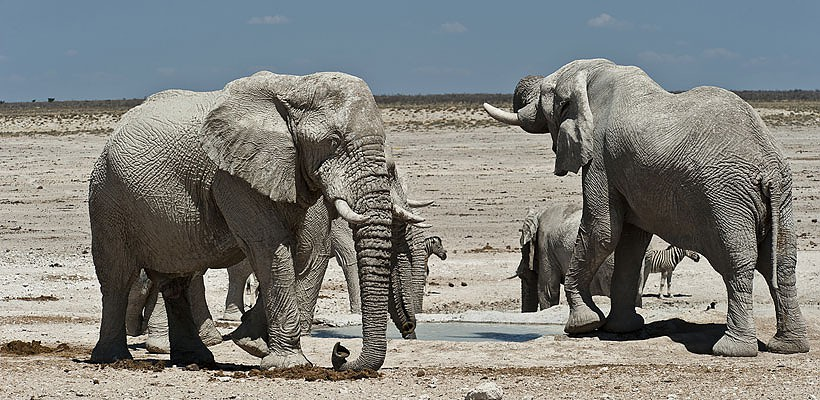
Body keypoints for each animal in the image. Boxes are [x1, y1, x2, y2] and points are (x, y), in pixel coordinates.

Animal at [89, 70, 426, 370]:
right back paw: (113, 358)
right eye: (334, 141)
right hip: (107, 197)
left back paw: (195, 359)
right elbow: (272, 249)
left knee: (177, 279)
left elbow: (303, 252)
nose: (341, 353)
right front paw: (286, 363)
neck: (296, 86)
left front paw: (252, 344)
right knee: (118, 277)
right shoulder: (232, 175)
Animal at [484, 58, 812, 356]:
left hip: (727, 197)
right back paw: (789, 346)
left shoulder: (600, 158)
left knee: (737, 262)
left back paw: (732, 350)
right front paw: (621, 329)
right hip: (782, 195)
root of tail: (768, 168)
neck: (596, 75)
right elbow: (631, 242)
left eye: (548, 96)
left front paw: (582, 325)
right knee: (782, 262)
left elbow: (603, 231)